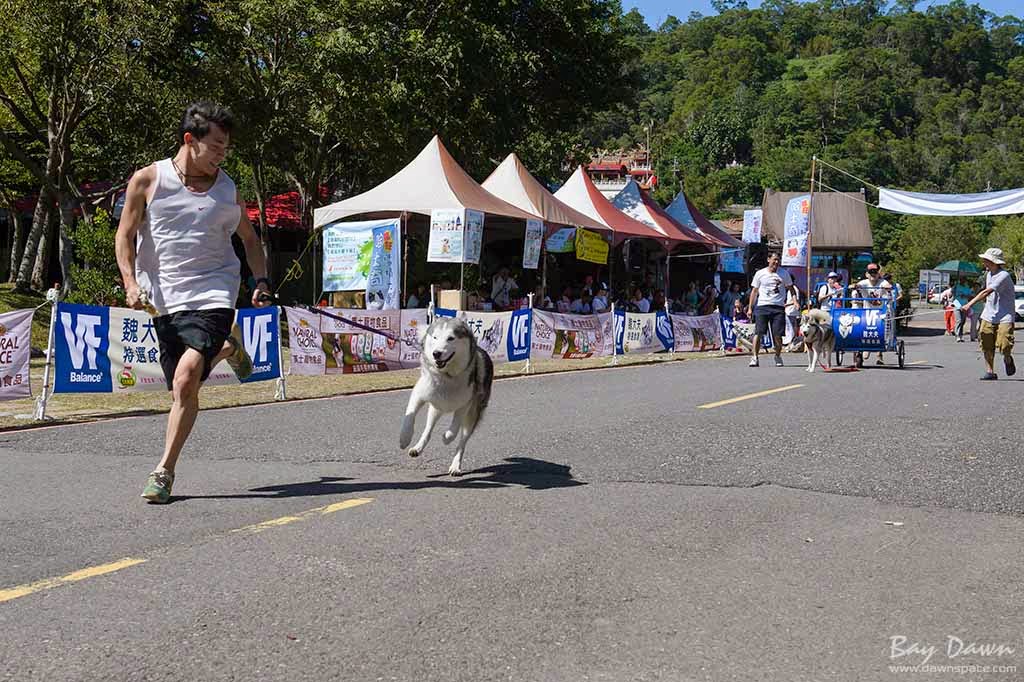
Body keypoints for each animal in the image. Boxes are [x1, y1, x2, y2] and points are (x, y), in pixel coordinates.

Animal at [397, 315, 493, 475]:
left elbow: (454, 428)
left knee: (462, 442)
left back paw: (455, 466)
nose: (436, 353)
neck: (446, 376)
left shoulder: (465, 404)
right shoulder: (419, 394)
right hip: (435, 408)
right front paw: (404, 438)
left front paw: (446, 438)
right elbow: (409, 418)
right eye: (435, 337)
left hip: (472, 414)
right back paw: (417, 448)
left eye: (451, 338)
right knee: (428, 430)